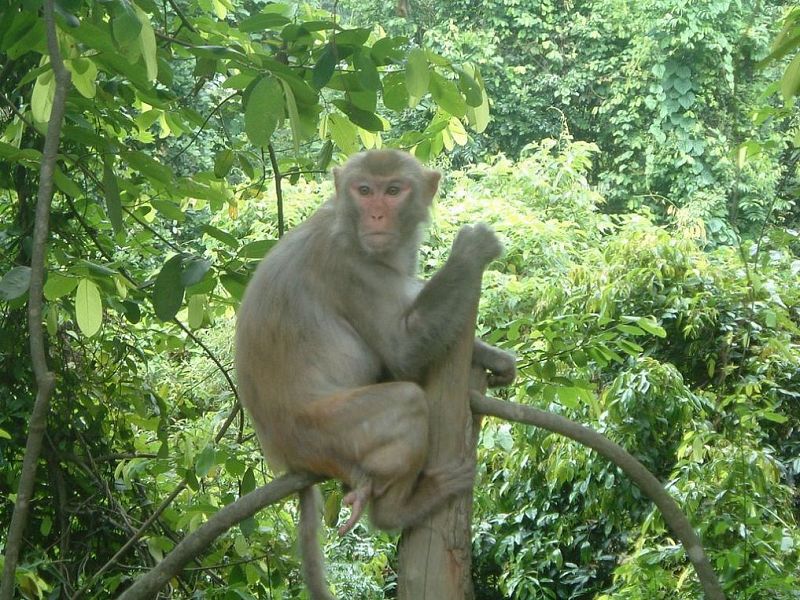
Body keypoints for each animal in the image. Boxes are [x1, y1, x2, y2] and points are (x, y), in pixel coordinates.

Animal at [234, 148, 516, 596]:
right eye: (364, 190)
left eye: (394, 190)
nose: (378, 215)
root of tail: (283, 456)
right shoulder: (351, 264)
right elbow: (402, 351)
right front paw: (471, 253)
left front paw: (495, 359)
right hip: (327, 432)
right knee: (407, 401)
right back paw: (396, 511)